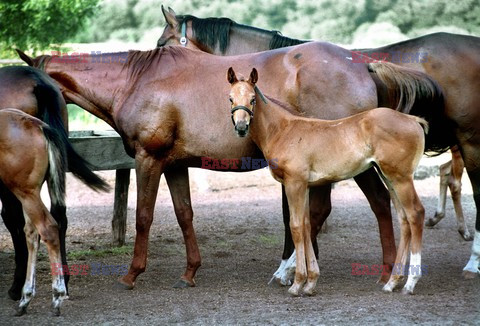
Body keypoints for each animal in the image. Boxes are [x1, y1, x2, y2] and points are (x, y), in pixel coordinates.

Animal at [16, 38, 454, 290]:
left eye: (38, 88)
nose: (31, 127)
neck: (137, 79)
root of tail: (361, 62)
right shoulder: (174, 164)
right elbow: (185, 214)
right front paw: (190, 271)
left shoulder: (148, 159)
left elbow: (143, 216)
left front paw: (132, 273)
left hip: (364, 167)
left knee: (380, 205)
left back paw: (385, 273)